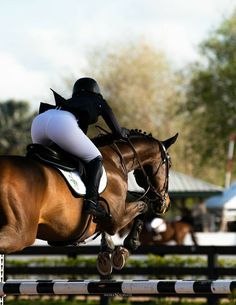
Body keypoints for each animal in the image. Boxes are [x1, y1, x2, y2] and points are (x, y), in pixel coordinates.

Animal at [0, 129, 177, 272]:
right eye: (169, 164)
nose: (165, 204)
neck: (116, 160)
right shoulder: (117, 219)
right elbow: (143, 206)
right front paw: (127, 246)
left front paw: (108, 250)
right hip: (20, 234)